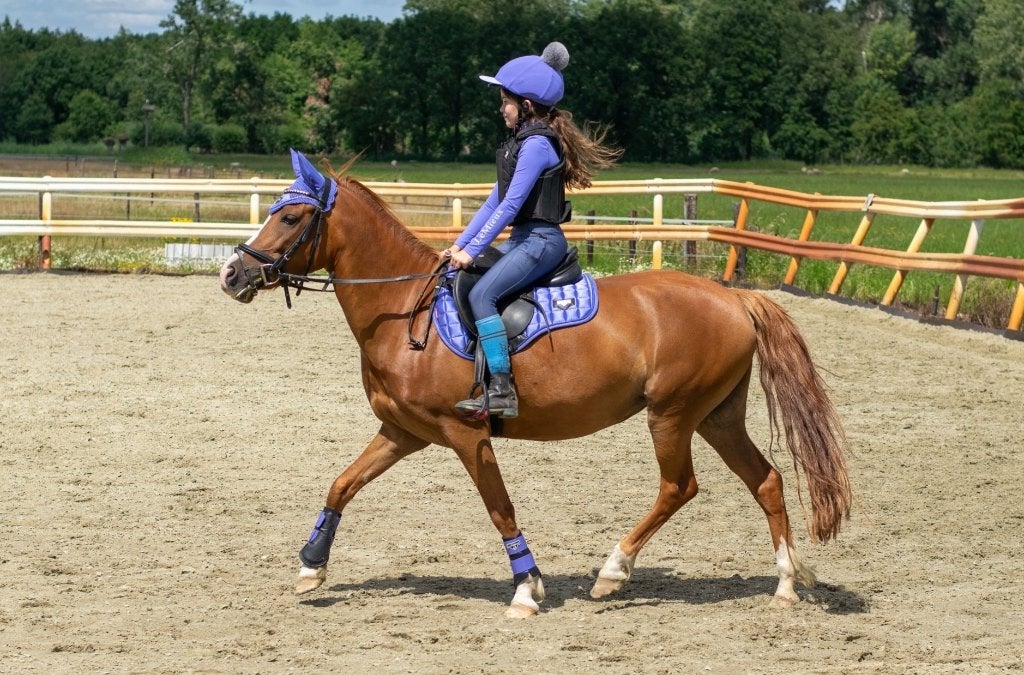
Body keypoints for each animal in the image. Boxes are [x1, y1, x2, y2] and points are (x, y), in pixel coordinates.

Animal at [219, 150, 851, 619]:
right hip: (717, 416)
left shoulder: (467, 434)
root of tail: (734, 298)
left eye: (291, 218)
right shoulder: (403, 432)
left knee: (680, 487)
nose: (232, 273)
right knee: (765, 480)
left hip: (672, 415)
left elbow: (500, 508)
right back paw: (786, 582)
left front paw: (527, 589)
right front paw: (311, 564)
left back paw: (612, 572)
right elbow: (341, 485)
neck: (404, 310)